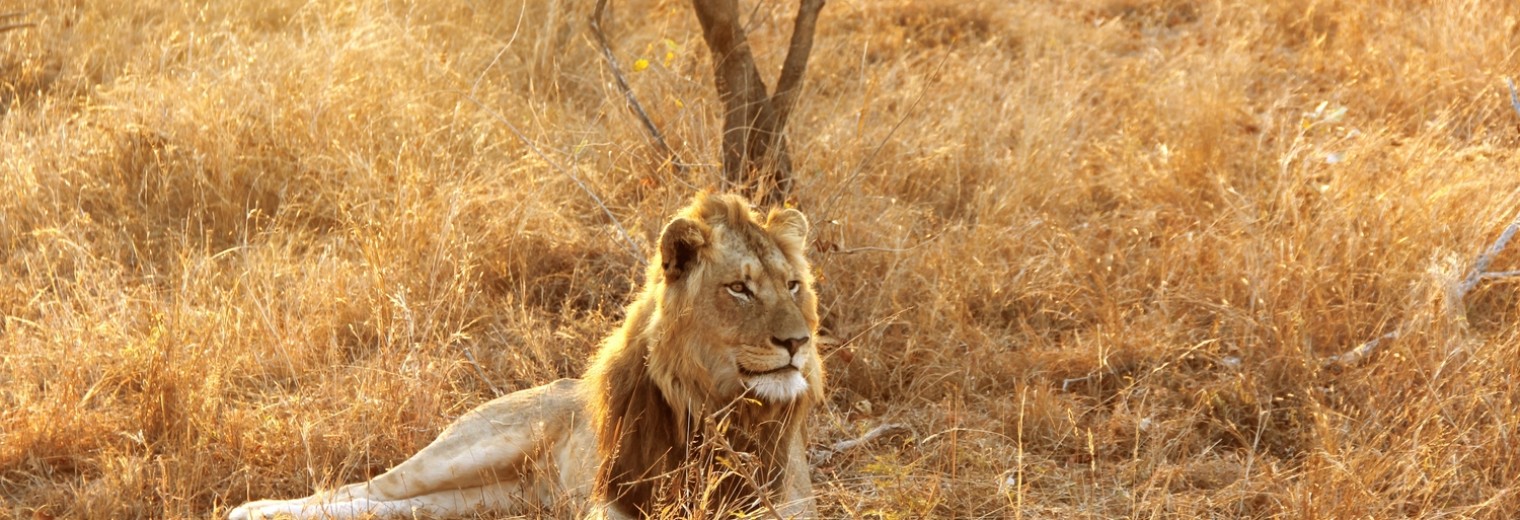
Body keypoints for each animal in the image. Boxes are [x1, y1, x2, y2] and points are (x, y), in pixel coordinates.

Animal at [228, 193, 820, 520]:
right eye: (739, 289)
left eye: (793, 285)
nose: (798, 343)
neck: (717, 407)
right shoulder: (613, 500)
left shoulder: (788, 503)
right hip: (470, 450)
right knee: (363, 487)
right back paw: (251, 511)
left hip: (494, 498)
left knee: (388, 506)